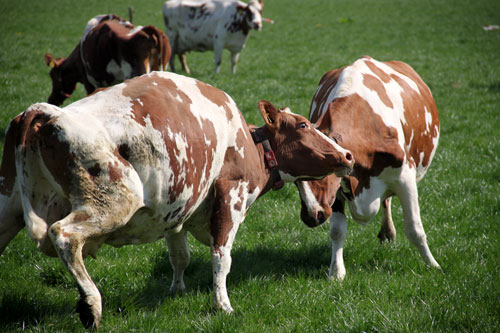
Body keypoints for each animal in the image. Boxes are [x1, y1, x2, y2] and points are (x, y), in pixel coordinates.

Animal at [0, 71, 354, 328]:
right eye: (304, 124)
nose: (347, 154)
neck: (249, 143)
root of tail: (47, 113)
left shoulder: (178, 210)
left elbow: (179, 256)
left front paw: (177, 290)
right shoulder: (231, 196)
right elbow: (221, 258)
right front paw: (222, 305)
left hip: (8, 207)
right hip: (111, 203)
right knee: (64, 235)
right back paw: (91, 305)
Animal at [294, 55, 440, 278]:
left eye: (321, 170)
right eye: (295, 180)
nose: (311, 216)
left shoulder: (405, 177)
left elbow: (415, 229)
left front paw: (432, 265)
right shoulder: (338, 188)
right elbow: (337, 230)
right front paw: (336, 271)